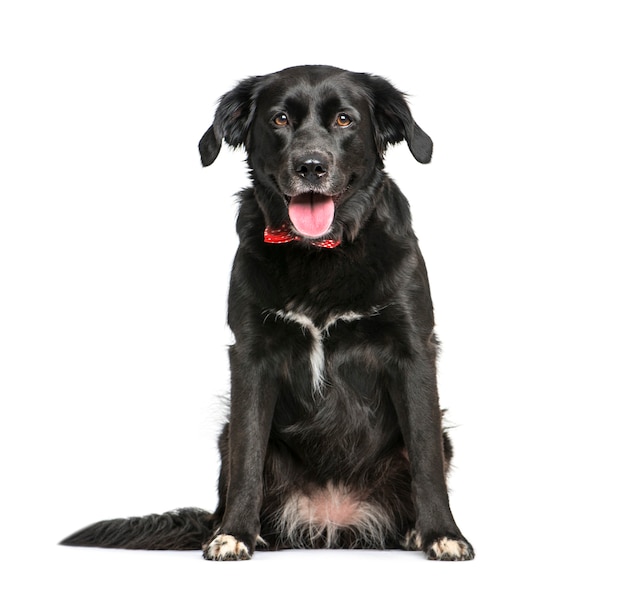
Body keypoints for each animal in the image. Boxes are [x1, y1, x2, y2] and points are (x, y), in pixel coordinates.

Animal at [62, 65, 472, 560]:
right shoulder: (251, 357)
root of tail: (334, 521)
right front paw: (235, 532)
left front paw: (444, 534)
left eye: (344, 119)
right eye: (279, 119)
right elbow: (248, 455)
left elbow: (426, 457)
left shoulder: (413, 351)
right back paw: (239, 528)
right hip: (226, 435)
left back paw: (412, 530)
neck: (319, 254)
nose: (310, 167)